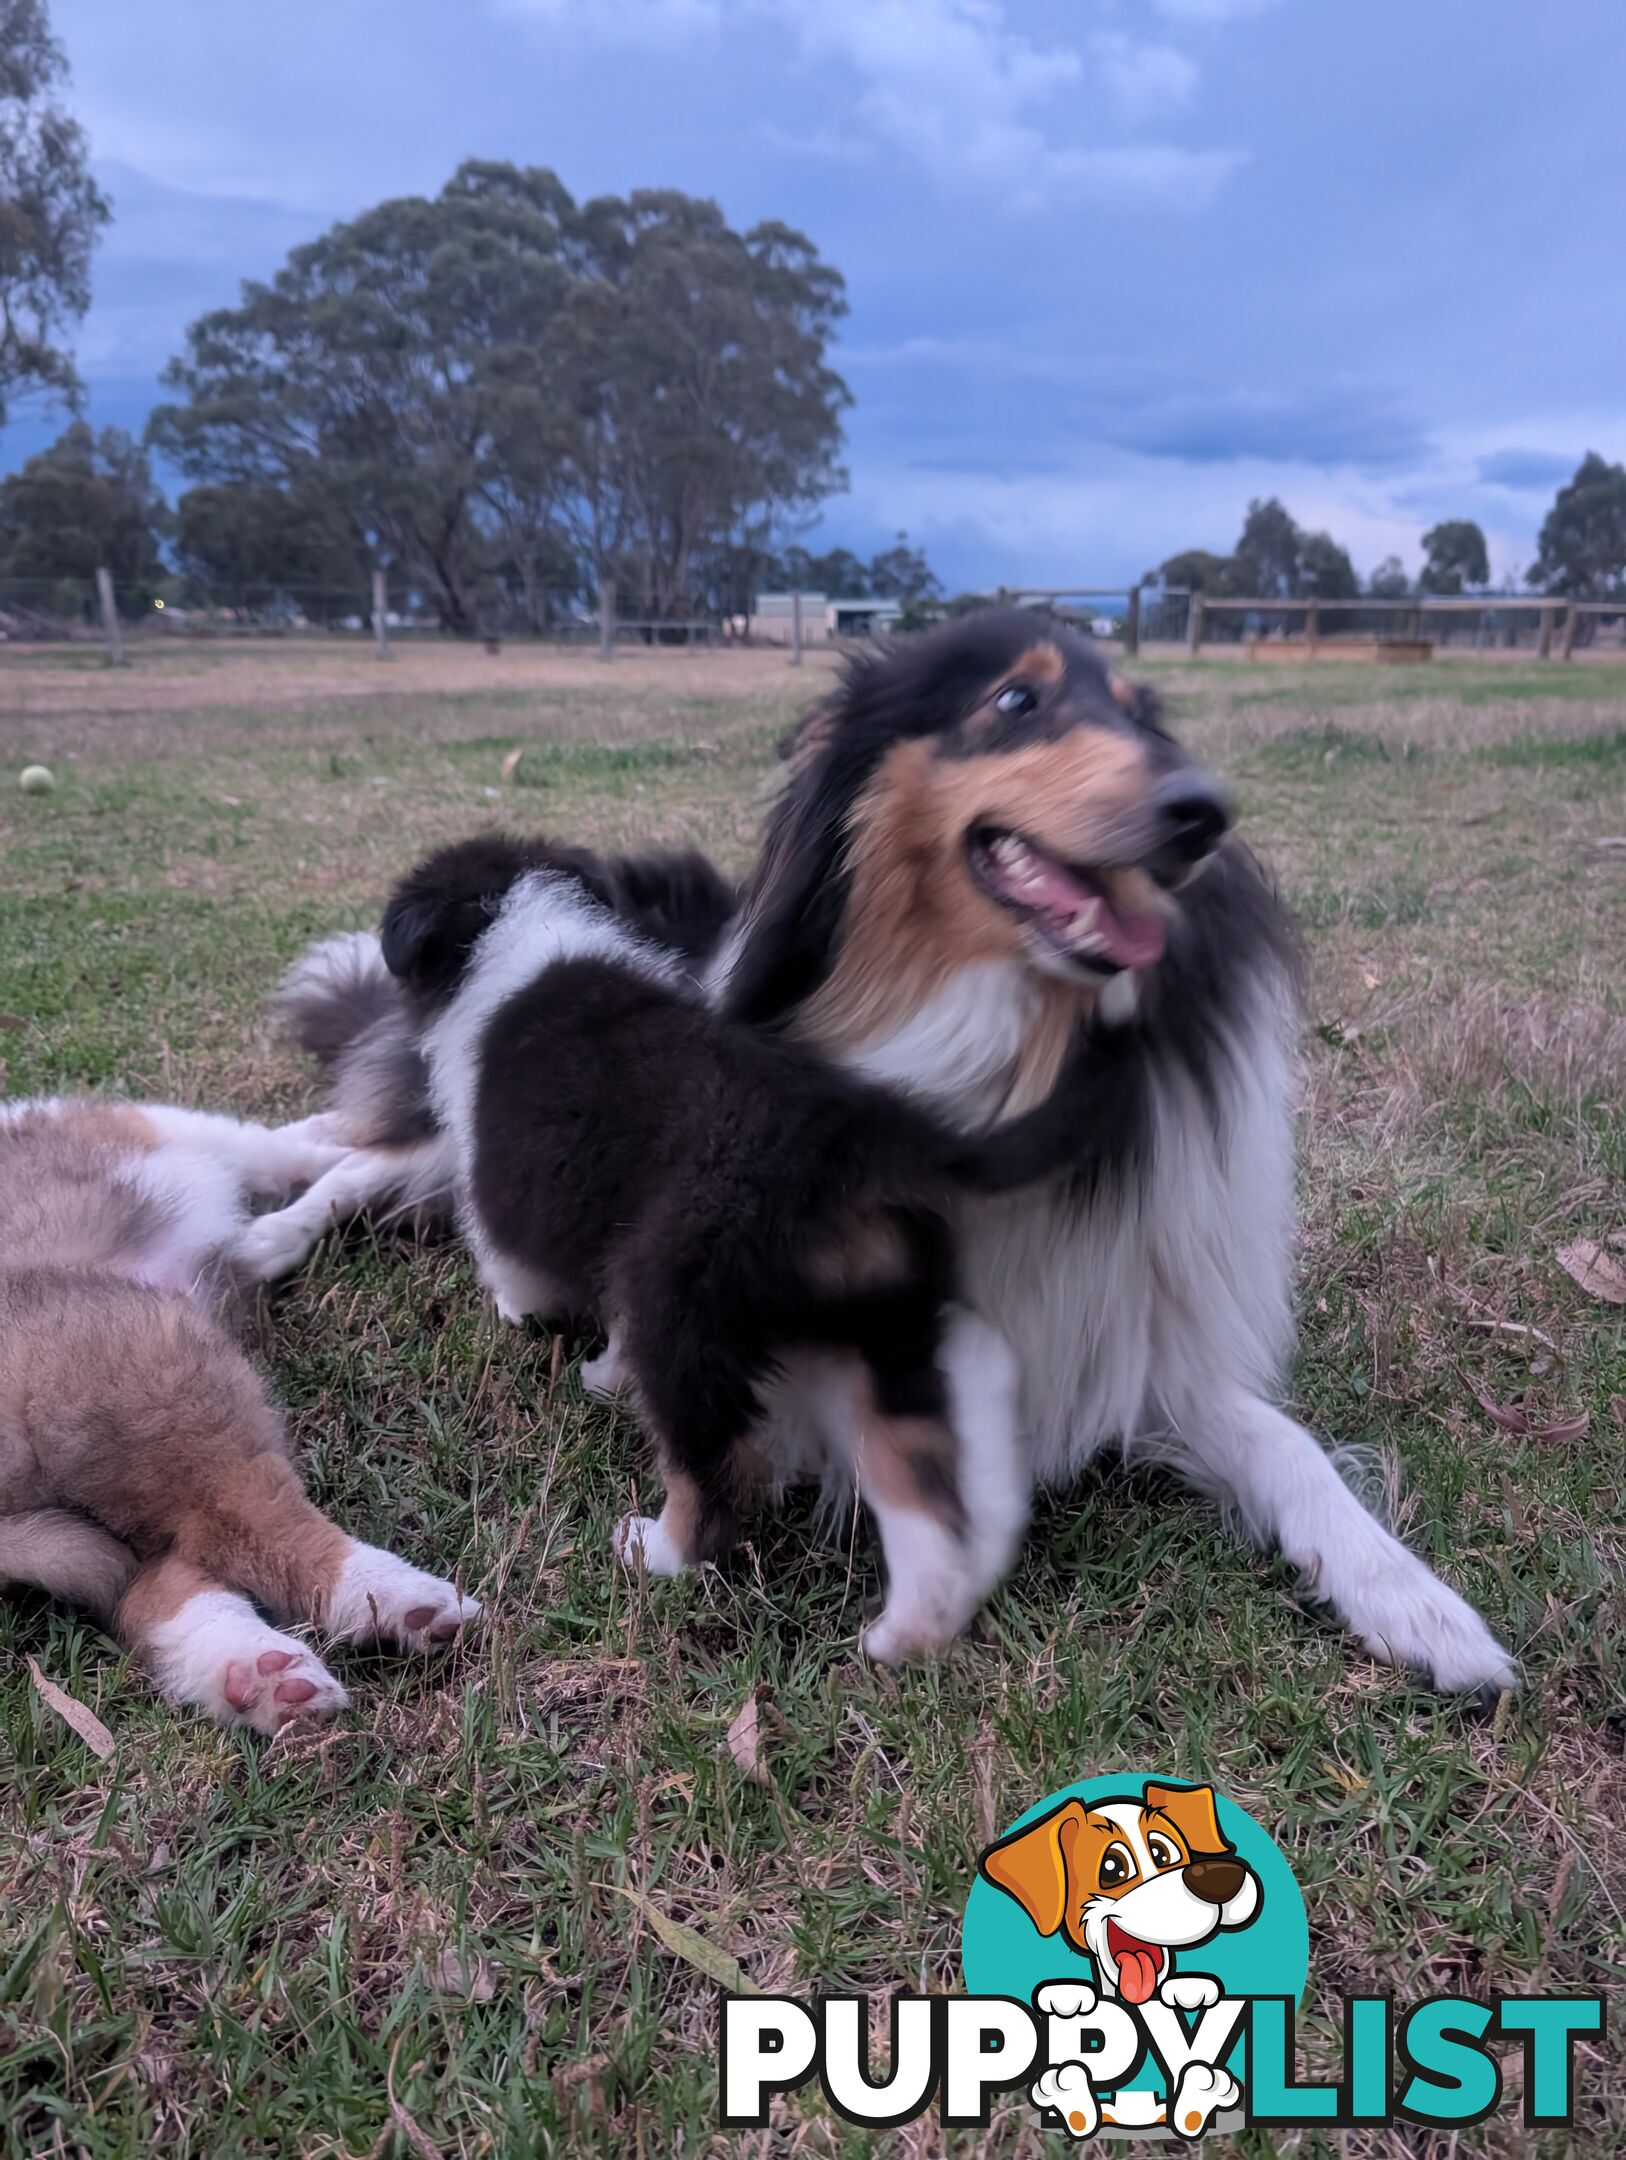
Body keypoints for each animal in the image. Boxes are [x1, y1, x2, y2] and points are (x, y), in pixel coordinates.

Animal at [375, 833, 1096, 1658]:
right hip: (886, 1315)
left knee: (709, 1468)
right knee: (917, 1476)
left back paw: (656, 1550)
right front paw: (604, 1373)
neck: (514, 921)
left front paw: (526, 1320)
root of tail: (854, 1146)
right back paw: (907, 1634)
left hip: (681, 1299)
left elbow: (517, 1266)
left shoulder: (507, 1185)